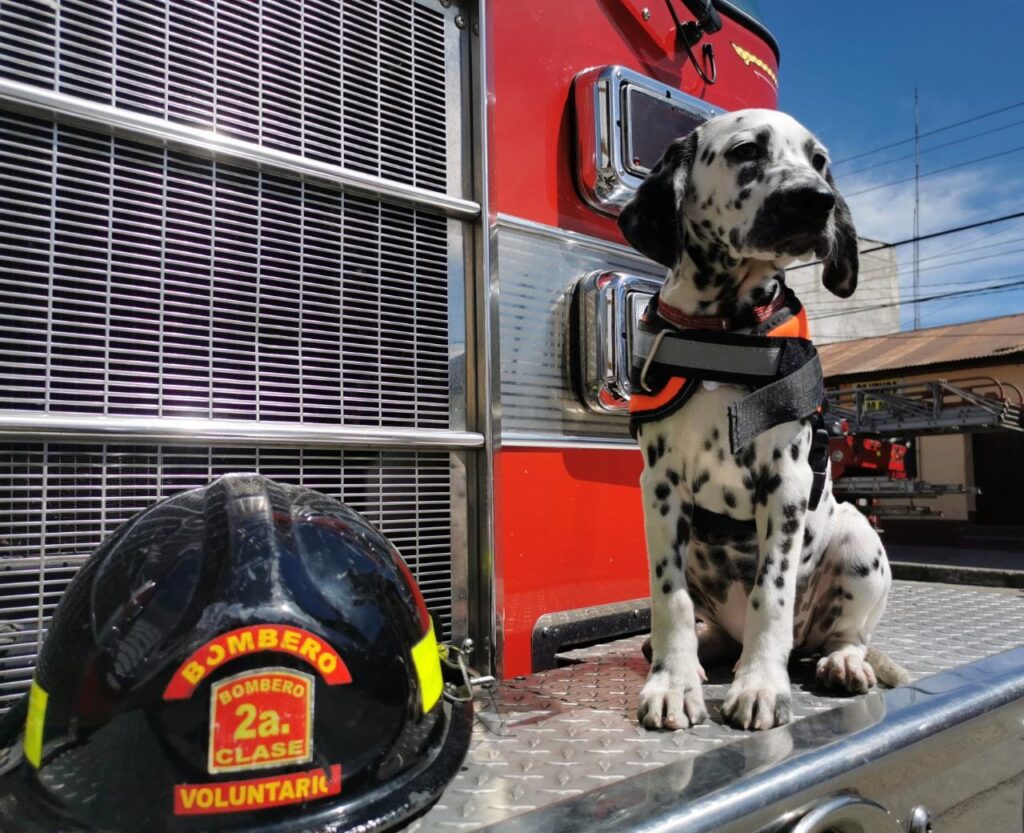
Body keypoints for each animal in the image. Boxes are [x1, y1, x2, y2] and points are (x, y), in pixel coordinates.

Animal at [614, 109, 905, 729]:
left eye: (819, 161)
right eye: (746, 150)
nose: (817, 200)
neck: (723, 330)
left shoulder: (786, 484)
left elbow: (769, 595)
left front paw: (760, 686)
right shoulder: (659, 486)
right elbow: (669, 597)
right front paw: (672, 683)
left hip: (858, 539)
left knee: (847, 634)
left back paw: (841, 663)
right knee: (710, 630)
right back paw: (703, 653)